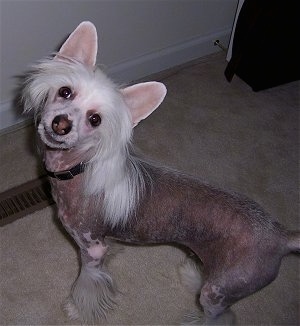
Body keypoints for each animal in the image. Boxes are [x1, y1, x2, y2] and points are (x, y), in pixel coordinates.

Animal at [21, 22, 300, 324]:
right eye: (65, 92)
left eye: (95, 120)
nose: (61, 125)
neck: (80, 169)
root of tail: (281, 235)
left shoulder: (92, 249)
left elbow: (88, 284)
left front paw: (79, 309)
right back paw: (193, 276)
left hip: (221, 289)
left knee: (220, 316)